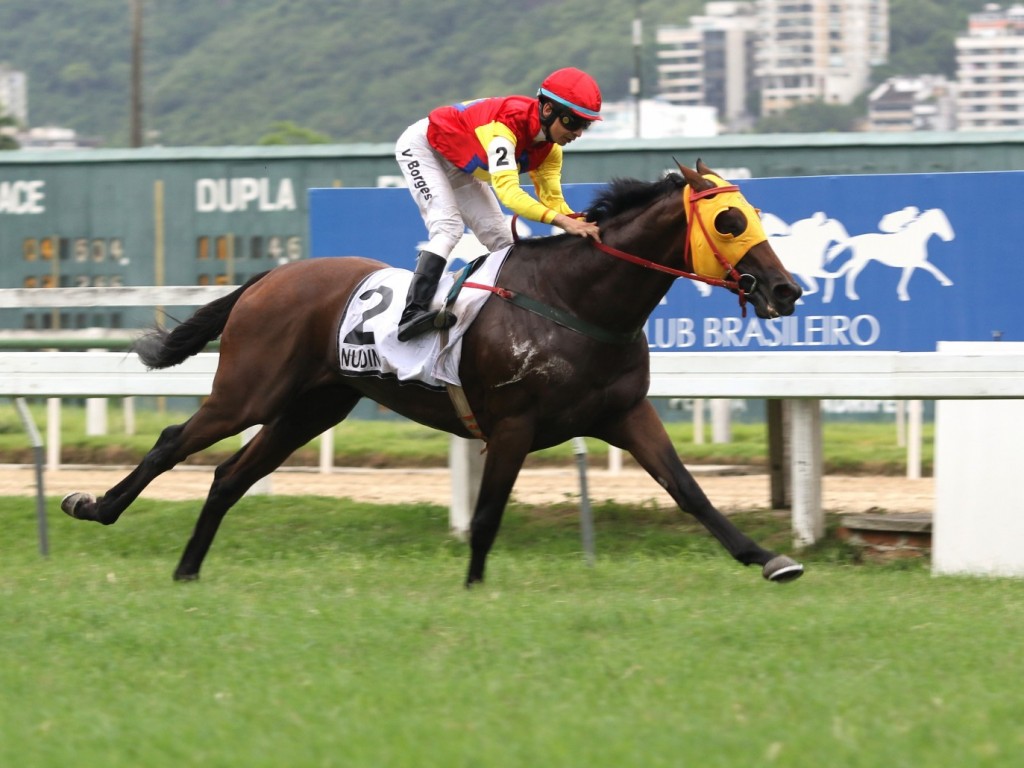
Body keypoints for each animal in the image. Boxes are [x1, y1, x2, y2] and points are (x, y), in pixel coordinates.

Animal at [61, 159, 806, 585]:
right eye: (730, 219)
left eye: (753, 214)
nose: (786, 288)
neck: (575, 301)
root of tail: (271, 276)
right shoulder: (512, 425)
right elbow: (487, 515)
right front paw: (474, 587)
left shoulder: (626, 414)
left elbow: (689, 491)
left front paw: (770, 558)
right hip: (250, 391)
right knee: (173, 443)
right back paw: (94, 506)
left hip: (311, 408)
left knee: (228, 476)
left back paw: (188, 569)